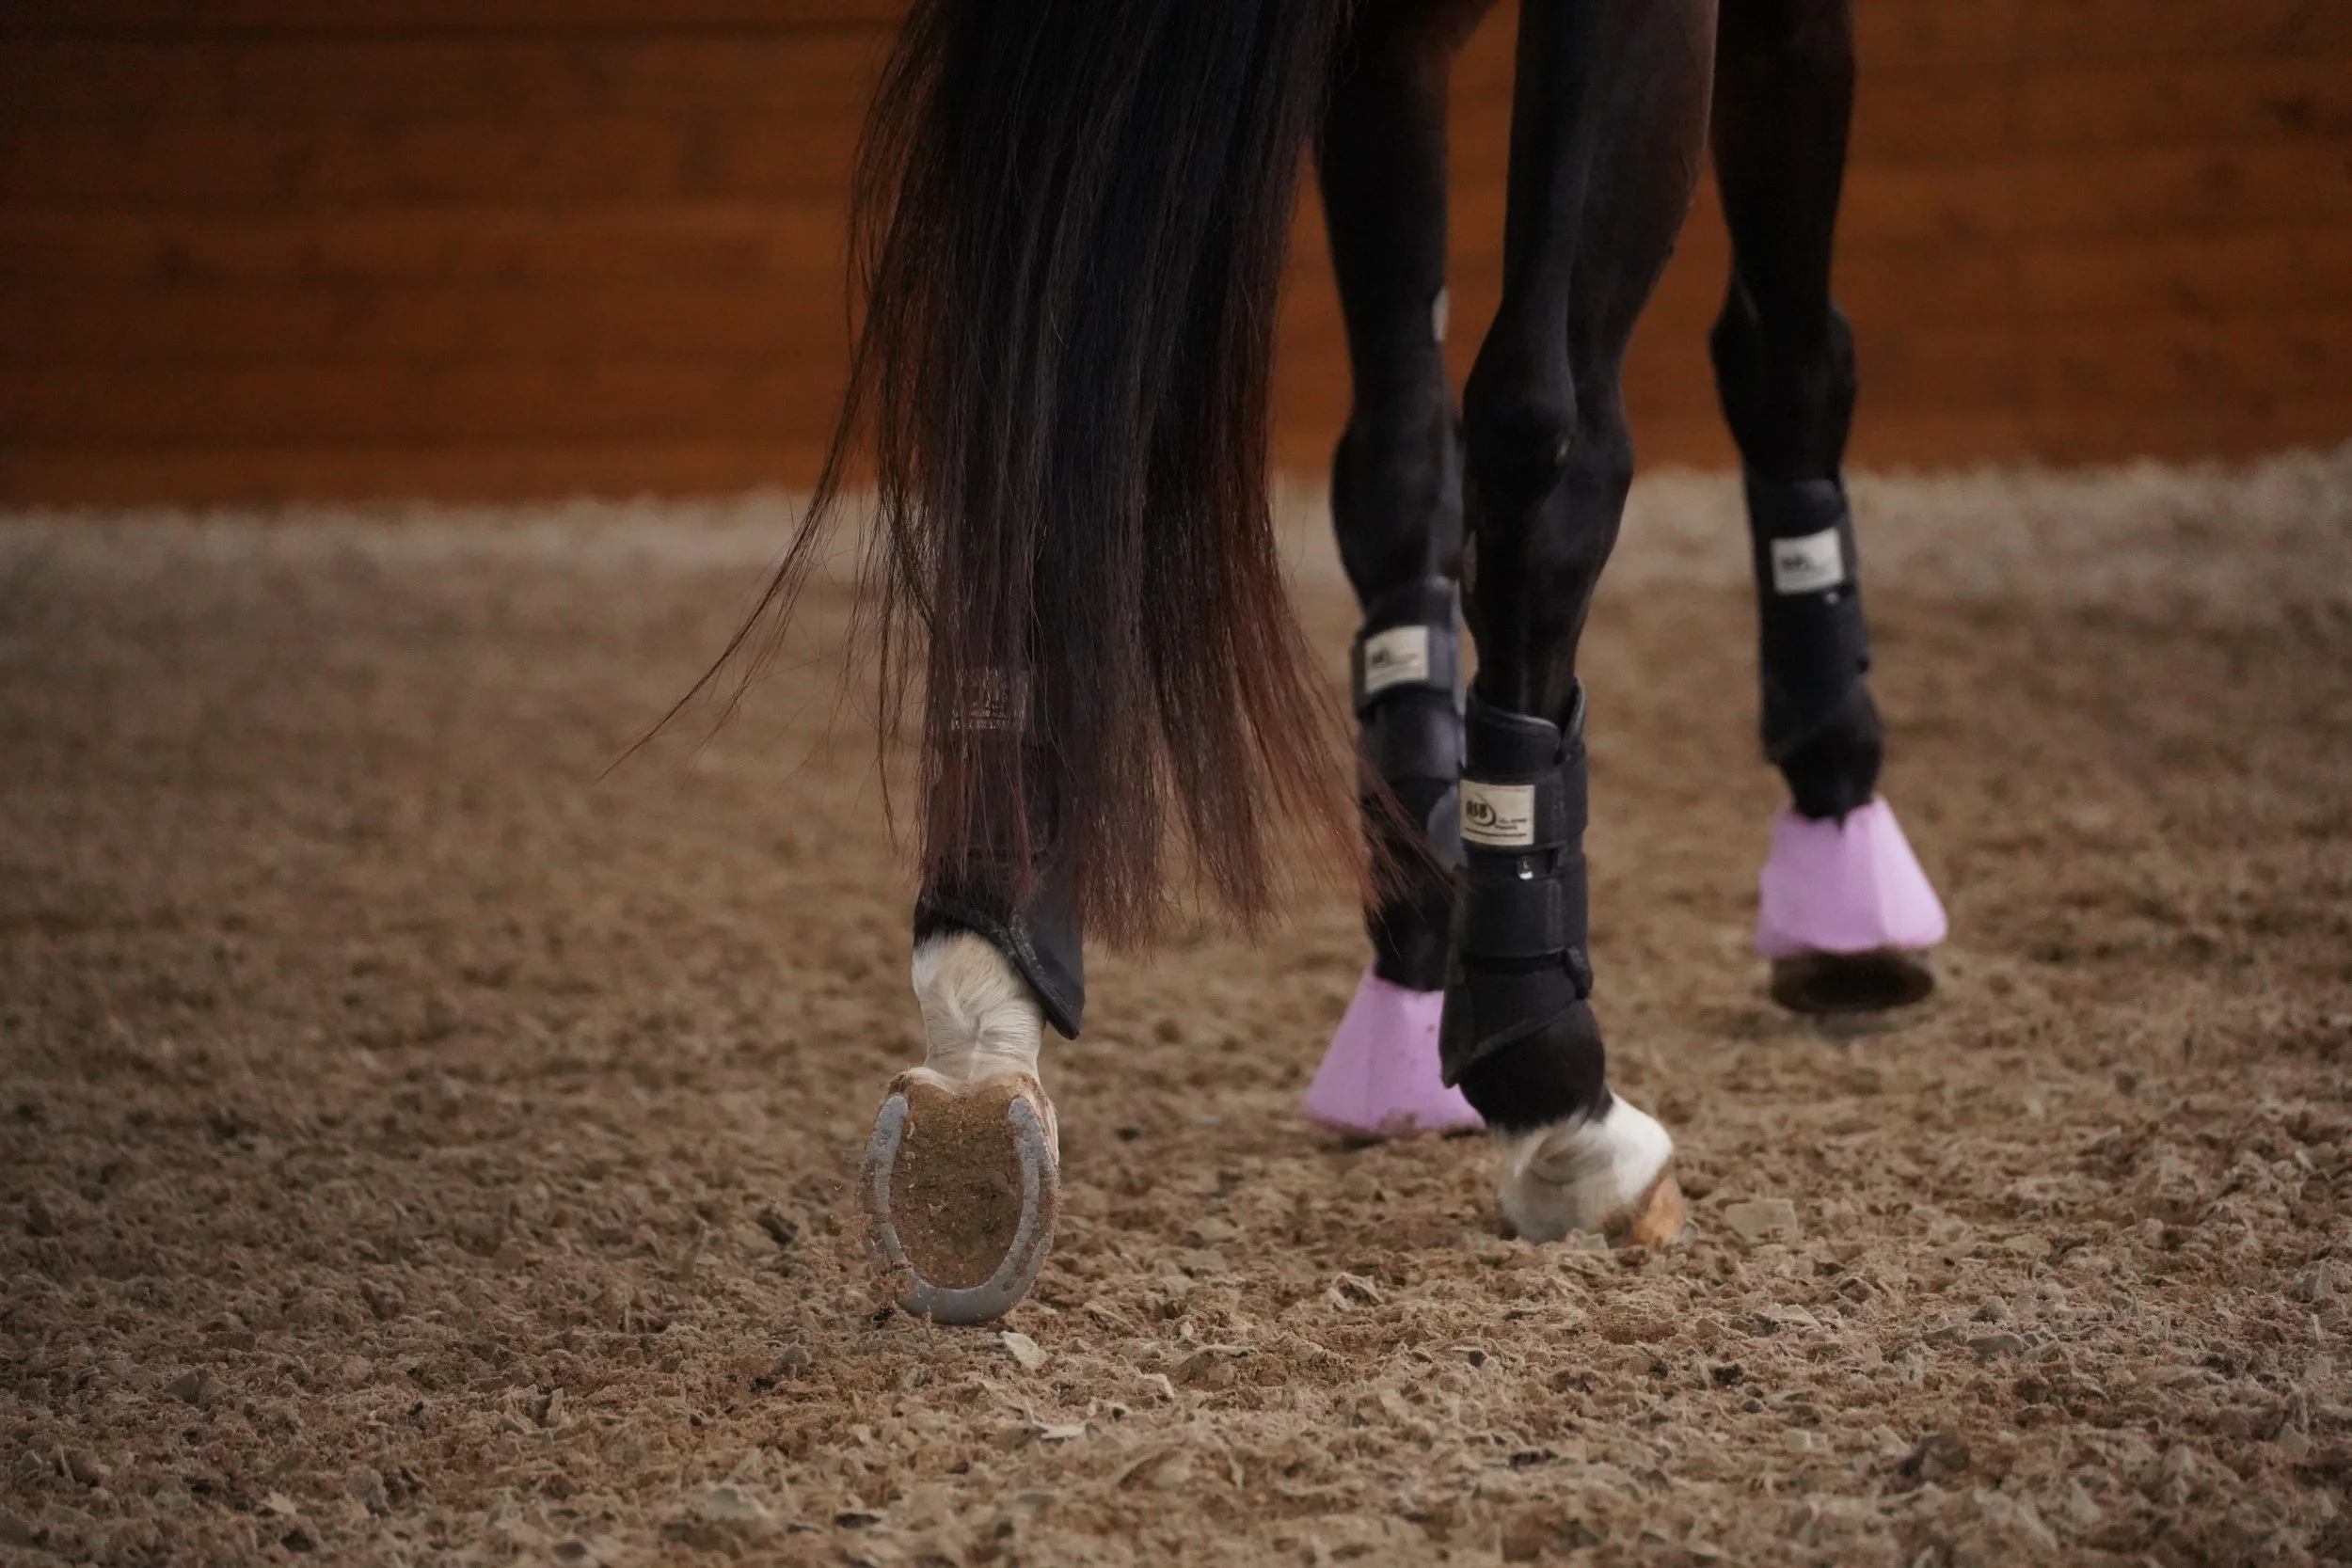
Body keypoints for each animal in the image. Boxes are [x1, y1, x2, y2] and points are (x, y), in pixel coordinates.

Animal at [744, 0, 1948, 1325]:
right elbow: (1784, 353)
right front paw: (1840, 849)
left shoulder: (1388, 49)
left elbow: (1396, 460)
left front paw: (1416, 935)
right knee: (1549, 440)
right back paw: (1563, 1099)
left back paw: (980, 1026)